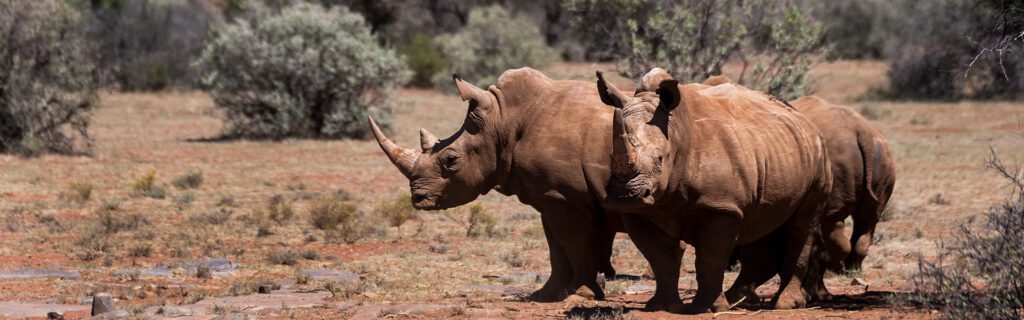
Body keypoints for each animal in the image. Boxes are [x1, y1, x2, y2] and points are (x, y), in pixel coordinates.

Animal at [370, 68, 618, 301]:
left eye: (450, 159)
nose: (418, 198)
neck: (503, 119)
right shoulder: (552, 196)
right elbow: (557, 249)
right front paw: (544, 296)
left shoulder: (564, 196)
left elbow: (576, 246)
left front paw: (580, 294)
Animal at [598, 68, 831, 311]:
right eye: (610, 156)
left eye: (660, 159)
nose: (626, 196)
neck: (678, 133)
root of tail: (805, 120)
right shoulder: (643, 209)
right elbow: (660, 259)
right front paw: (662, 307)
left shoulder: (721, 206)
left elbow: (710, 259)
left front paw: (708, 308)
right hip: (775, 150)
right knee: (762, 220)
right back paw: (738, 299)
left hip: (820, 158)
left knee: (802, 226)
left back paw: (783, 305)